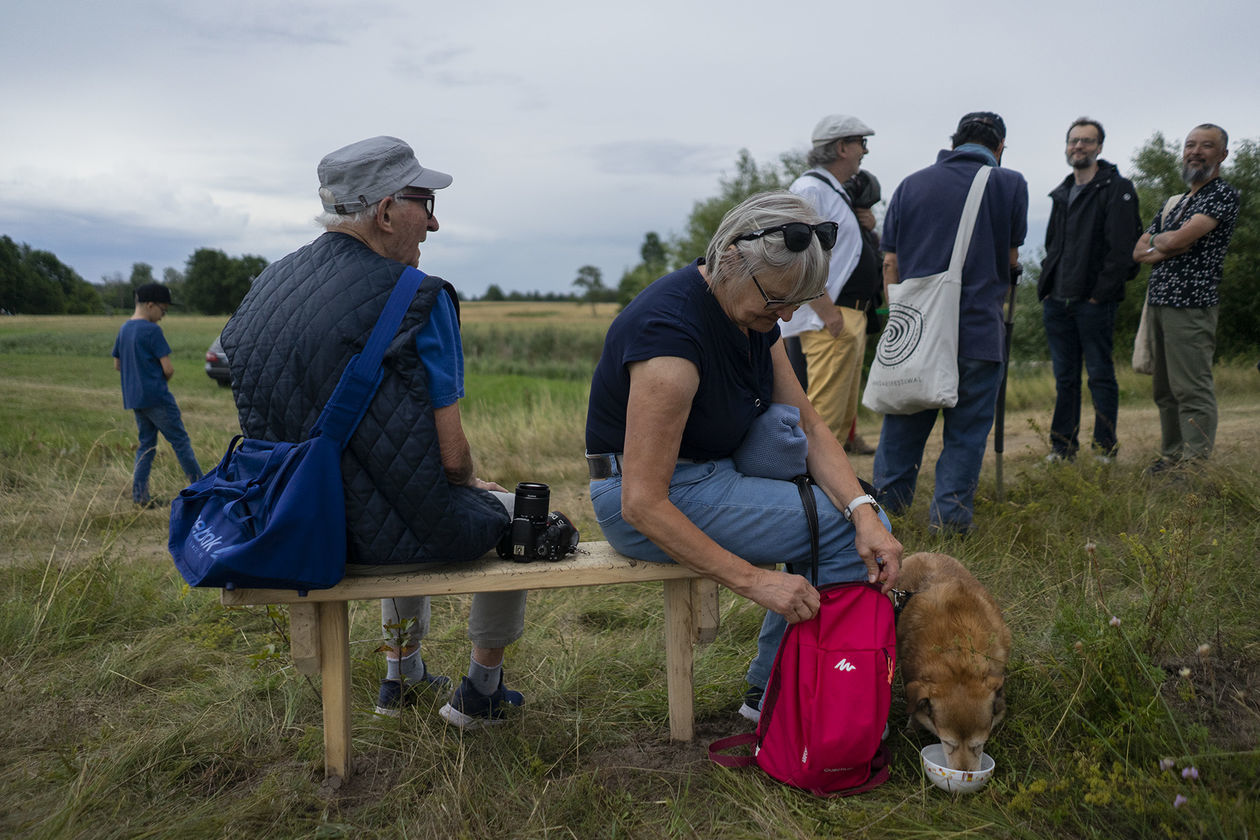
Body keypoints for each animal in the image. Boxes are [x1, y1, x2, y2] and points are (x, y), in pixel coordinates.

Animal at [897, 551, 1013, 770]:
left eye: (979, 745)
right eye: (948, 743)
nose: (965, 774)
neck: (958, 659)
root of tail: (926, 553)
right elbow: (915, 710)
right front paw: (913, 726)